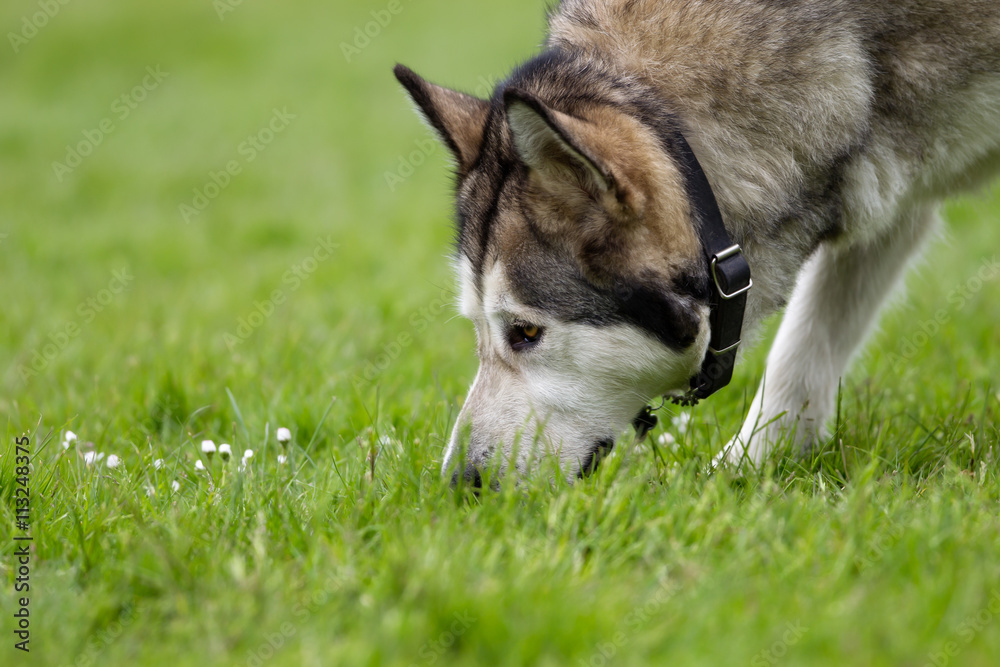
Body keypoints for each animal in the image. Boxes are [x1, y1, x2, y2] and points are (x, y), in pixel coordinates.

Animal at [394, 0, 1000, 482]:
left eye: (525, 332)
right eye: (477, 328)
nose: (460, 484)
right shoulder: (890, 192)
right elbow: (804, 351)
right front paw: (744, 475)